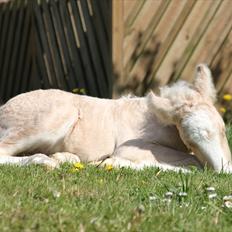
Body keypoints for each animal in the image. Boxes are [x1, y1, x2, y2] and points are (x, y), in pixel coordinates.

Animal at [0, 63, 230, 172]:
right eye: (191, 140)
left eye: (222, 130)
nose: (224, 172)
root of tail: (4, 108)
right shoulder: (130, 148)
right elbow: (192, 164)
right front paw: (112, 163)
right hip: (54, 117)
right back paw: (44, 161)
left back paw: (63, 157)